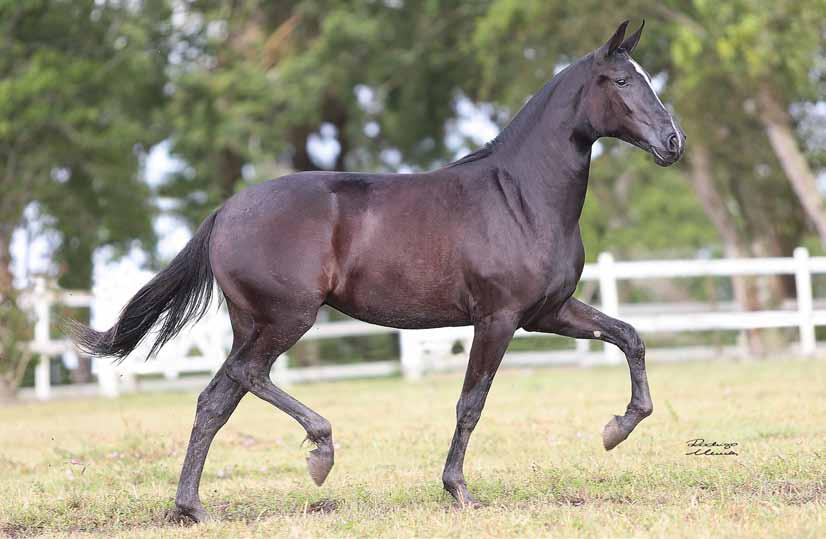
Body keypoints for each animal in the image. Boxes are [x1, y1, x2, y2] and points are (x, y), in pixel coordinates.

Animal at [74, 21, 684, 524]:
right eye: (622, 81)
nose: (672, 144)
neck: (521, 196)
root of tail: (226, 211)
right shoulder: (499, 318)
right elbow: (471, 403)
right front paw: (459, 490)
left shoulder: (547, 312)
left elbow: (630, 337)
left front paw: (616, 429)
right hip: (287, 319)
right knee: (248, 376)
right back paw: (319, 452)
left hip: (253, 323)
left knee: (216, 399)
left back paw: (192, 507)